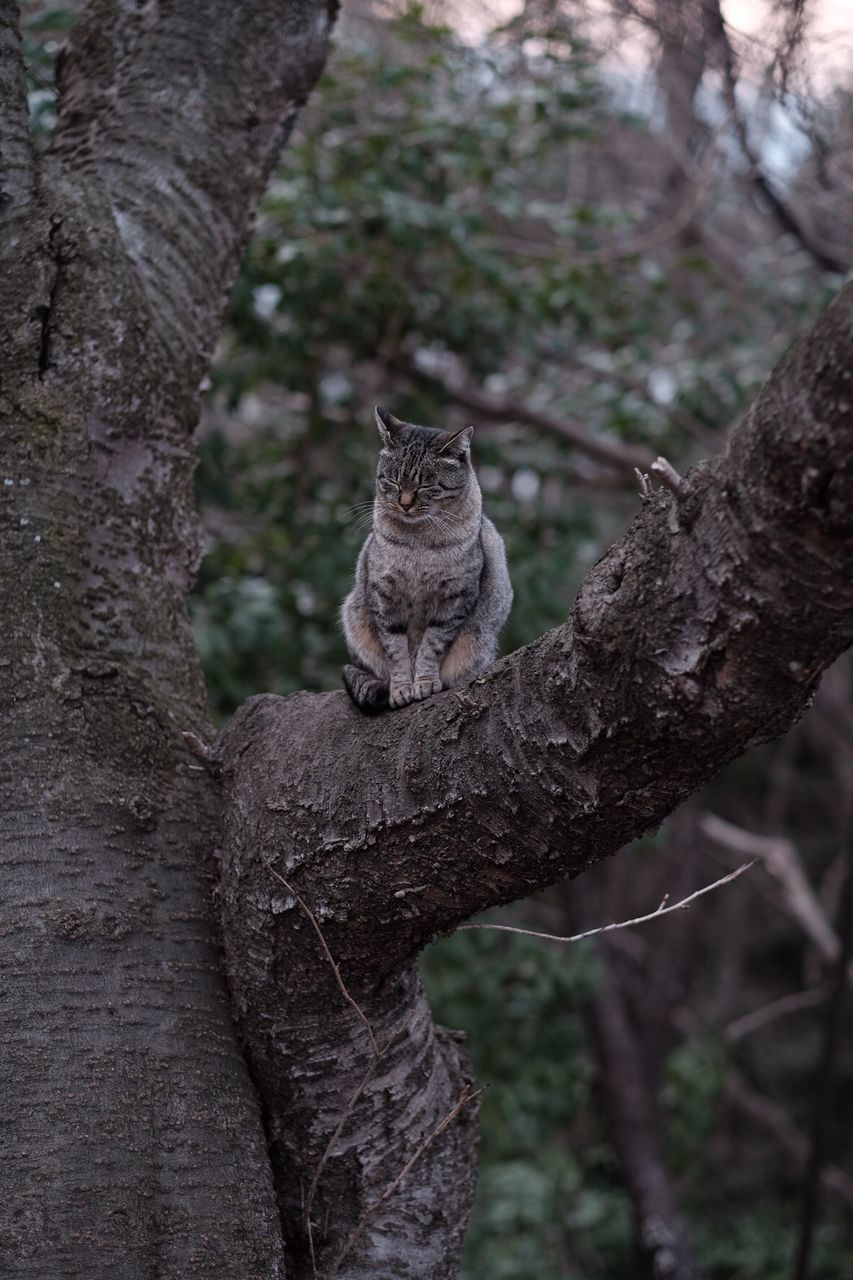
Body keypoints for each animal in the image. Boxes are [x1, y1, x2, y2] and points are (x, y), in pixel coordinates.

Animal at [340, 407, 512, 711]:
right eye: (393, 481)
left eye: (426, 485)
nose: (405, 504)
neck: (418, 541)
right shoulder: (384, 597)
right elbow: (396, 651)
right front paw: (401, 689)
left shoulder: (455, 597)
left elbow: (432, 645)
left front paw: (424, 682)